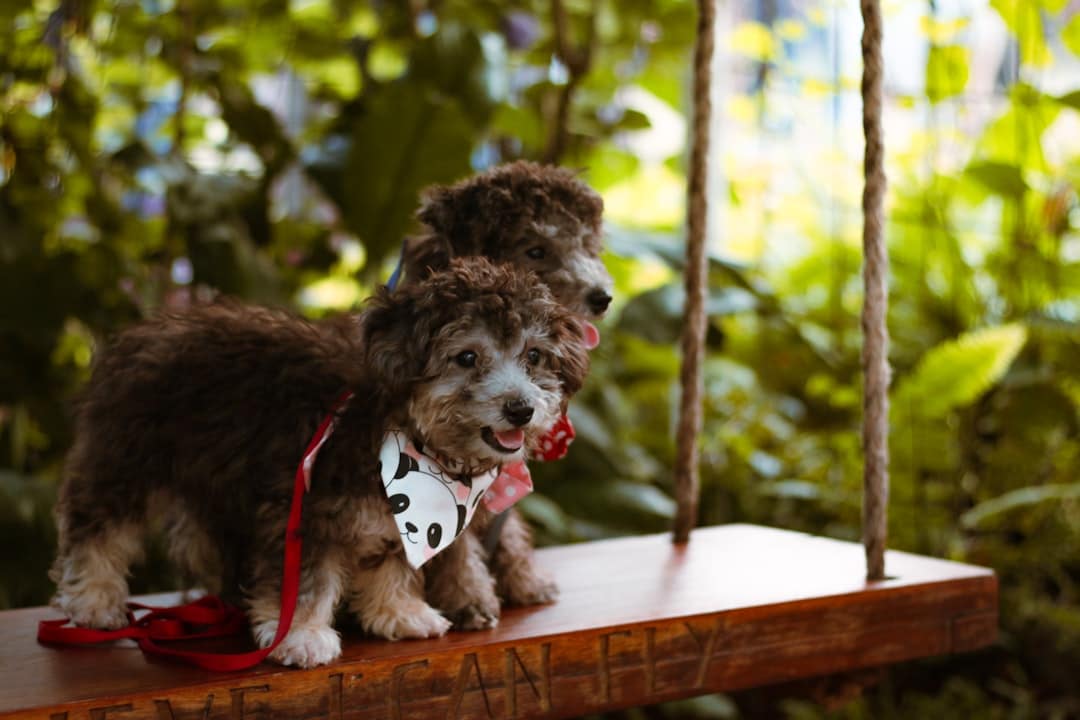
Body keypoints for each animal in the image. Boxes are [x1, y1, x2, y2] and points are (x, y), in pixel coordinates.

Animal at [48, 259, 591, 669]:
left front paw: (399, 612)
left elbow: (392, 562)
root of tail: (143, 331)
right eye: (467, 357)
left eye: (535, 356)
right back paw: (93, 600)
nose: (520, 409)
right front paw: (300, 635)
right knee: (97, 528)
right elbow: (305, 580)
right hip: (125, 459)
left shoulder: (400, 518)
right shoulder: (304, 508)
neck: (404, 431)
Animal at [401, 161, 613, 626]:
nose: (603, 297)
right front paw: (468, 597)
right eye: (535, 251)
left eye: (586, 245)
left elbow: (506, 525)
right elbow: (453, 535)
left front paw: (522, 578)